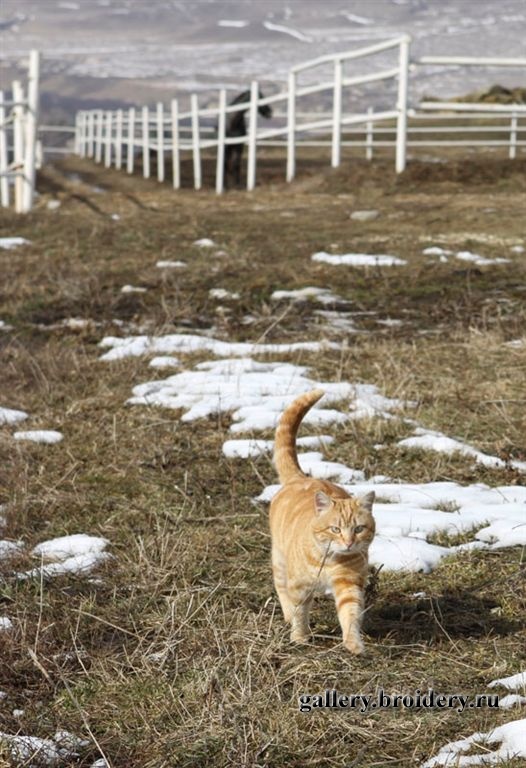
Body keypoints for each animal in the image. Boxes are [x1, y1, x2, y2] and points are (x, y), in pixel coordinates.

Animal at [269, 389, 375, 654]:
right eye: (335, 529)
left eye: (358, 529)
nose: (348, 543)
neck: (328, 560)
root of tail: (301, 478)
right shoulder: (299, 587)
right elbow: (299, 613)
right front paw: (299, 637)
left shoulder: (349, 583)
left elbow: (350, 614)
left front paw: (353, 644)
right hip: (279, 561)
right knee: (281, 590)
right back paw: (287, 618)